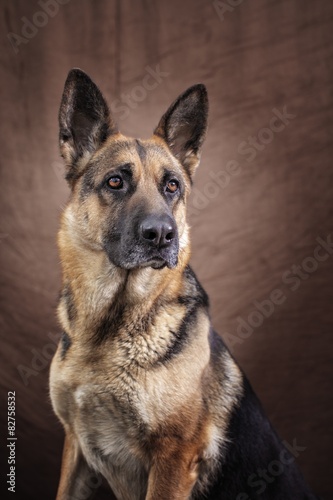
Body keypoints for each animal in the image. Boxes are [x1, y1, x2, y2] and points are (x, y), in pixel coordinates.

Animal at [48, 68, 316, 498]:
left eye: (171, 186)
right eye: (115, 182)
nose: (161, 235)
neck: (109, 330)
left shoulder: (173, 458)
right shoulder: (76, 447)